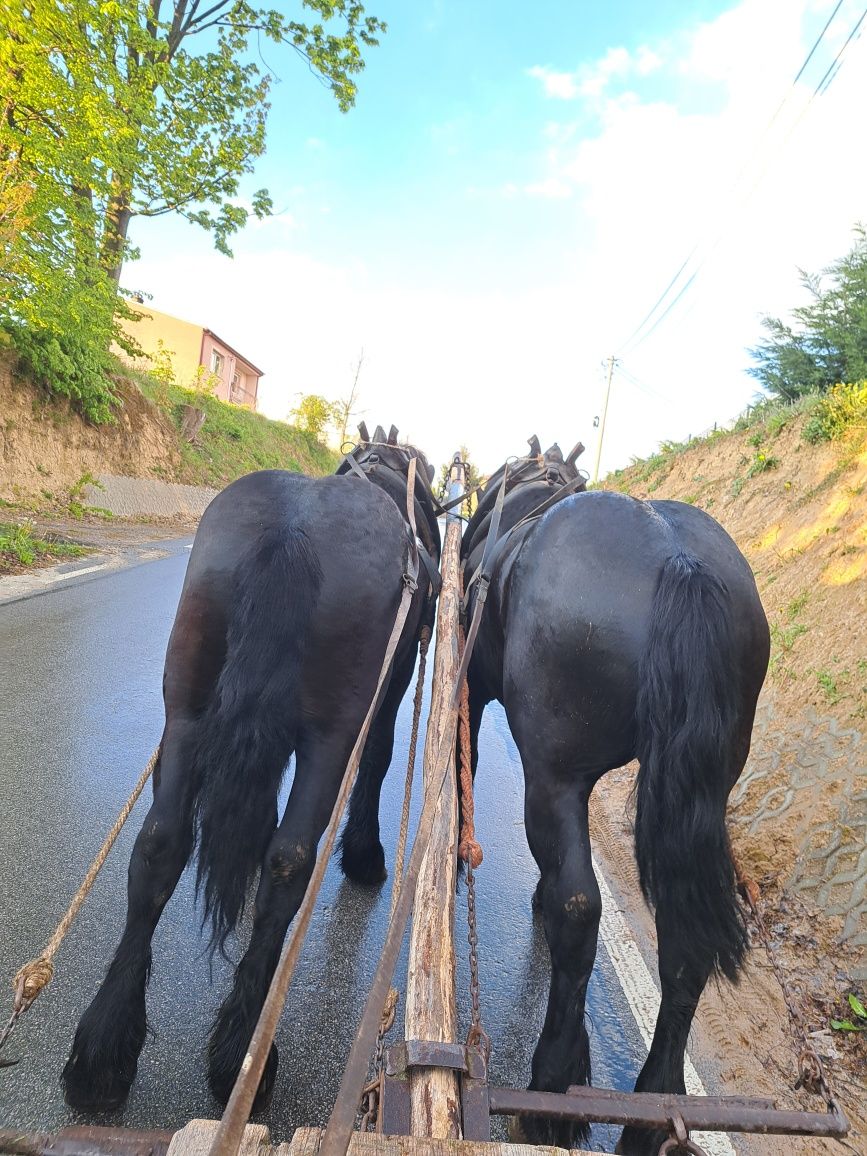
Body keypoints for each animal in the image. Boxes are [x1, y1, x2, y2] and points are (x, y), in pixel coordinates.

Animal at [62, 423, 441, 1109]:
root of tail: (292, 533)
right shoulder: (386, 690)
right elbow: (375, 761)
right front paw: (364, 856)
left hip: (186, 709)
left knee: (160, 842)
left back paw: (103, 1053)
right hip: (330, 732)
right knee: (289, 859)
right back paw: (242, 1056)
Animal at [464, 436, 772, 1151]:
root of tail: (677, 560)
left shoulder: (475, 693)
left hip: (552, 774)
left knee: (580, 907)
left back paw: (549, 1091)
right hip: (704, 791)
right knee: (684, 946)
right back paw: (655, 1107)